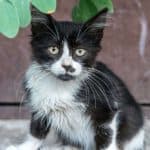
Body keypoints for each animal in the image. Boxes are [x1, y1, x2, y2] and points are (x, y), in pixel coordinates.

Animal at [6, 7, 144, 150]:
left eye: (80, 51)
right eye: (53, 49)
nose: (67, 66)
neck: (61, 86)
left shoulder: (107, 105)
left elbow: (106, 133)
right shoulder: (38, 100)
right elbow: (37, 128)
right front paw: (26, 146)